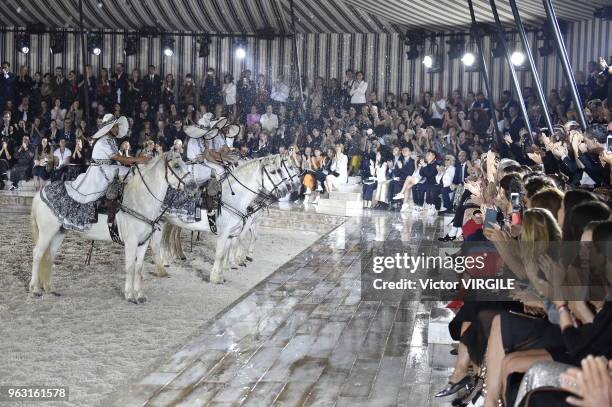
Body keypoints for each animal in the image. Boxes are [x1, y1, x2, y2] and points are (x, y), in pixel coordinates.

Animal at [29, 153, 192, 302]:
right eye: (176, 165)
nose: (193, 185)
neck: (138, 201)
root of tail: (39, 194)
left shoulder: (143, 243)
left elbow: (139, 268)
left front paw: (140, 295)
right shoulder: (131, 242)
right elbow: (130, 267)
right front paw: (130, 295)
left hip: (59, 232)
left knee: (49, 256)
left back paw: (50, 288)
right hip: (47, 232)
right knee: (37, 254)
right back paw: (35, 289)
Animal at [154, 155, 296, 286]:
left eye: (280, 170)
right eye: (273, 172)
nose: (286, 189)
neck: (231, 198)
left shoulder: (233, 232)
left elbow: (229, 249)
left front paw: (222, 273)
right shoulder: (225, 233)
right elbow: (221, 253)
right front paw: (217, 277)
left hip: (167, 221)